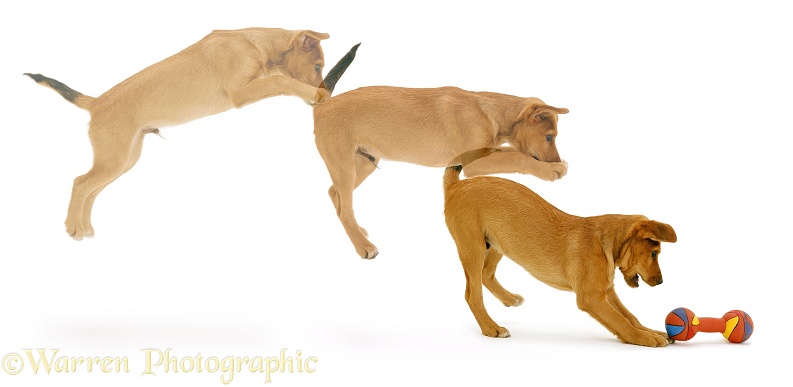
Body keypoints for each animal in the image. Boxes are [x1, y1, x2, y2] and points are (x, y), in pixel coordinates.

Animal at [24, 28, 344, 239]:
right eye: (318, 65)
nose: (327, 93)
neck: (252, 43)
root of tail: (96, 102)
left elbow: (278, 80)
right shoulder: (241, 92)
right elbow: (281, 81)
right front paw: (312, 93)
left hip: (123, 160)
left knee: (92, 189)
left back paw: (85, 227)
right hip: (113, 159)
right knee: (80, 183)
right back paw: (74, 228)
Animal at [312, 86, 568, 260]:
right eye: (549, 137)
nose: (556, 160)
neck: (489, 112)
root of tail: (321, 108)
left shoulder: (484, 152)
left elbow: (510, 152)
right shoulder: (473, 163)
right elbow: (516, 156)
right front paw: (551, 170)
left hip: (364, 163)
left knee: (336, 195)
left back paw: (359, 232)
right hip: (344, 165)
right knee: (344, 207)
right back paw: (363, 246)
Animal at [440, 149, 676, 348]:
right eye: (654, 253)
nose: (661, 282)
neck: (606, 242)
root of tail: (455, 187)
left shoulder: (606, 291)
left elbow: (629, 316)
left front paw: (652, 331)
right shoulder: (591, 297)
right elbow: (621, 321)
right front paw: (645, 338)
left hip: (500, 242)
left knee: (486, 274)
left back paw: (509, 299)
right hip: (473, 247)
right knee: (473, 293)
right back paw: (491, 327)